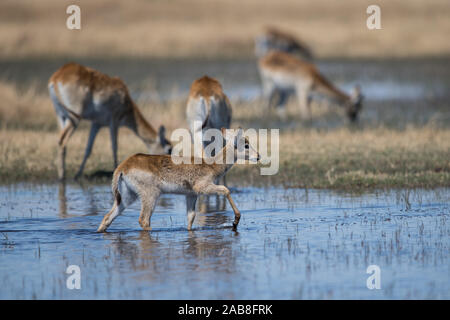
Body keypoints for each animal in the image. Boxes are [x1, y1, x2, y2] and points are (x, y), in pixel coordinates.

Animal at [97, 127, 260, 232]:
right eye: (246, 144)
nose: (258, 156)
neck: (211, 165)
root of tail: (123, 166)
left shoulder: (191, 195)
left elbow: (191, 217)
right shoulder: (203, 187)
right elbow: (226, 190)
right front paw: (235, 221)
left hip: (127, 197)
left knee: (107, 218)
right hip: (151, 195)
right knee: (143, 220)